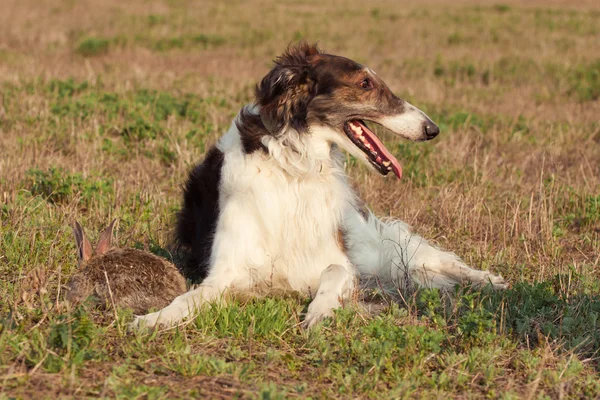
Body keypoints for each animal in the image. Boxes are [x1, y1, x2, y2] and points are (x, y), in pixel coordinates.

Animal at [132, 41, 506, 328]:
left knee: (437, 259)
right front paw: (153, 319)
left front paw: (320, 313)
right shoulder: (226, 269)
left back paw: (489, 280)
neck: (295, 169)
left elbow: (333, 275)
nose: (432, 129)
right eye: (365, 83)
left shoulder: (337, 261)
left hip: (374, 246)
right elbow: (189, 299)